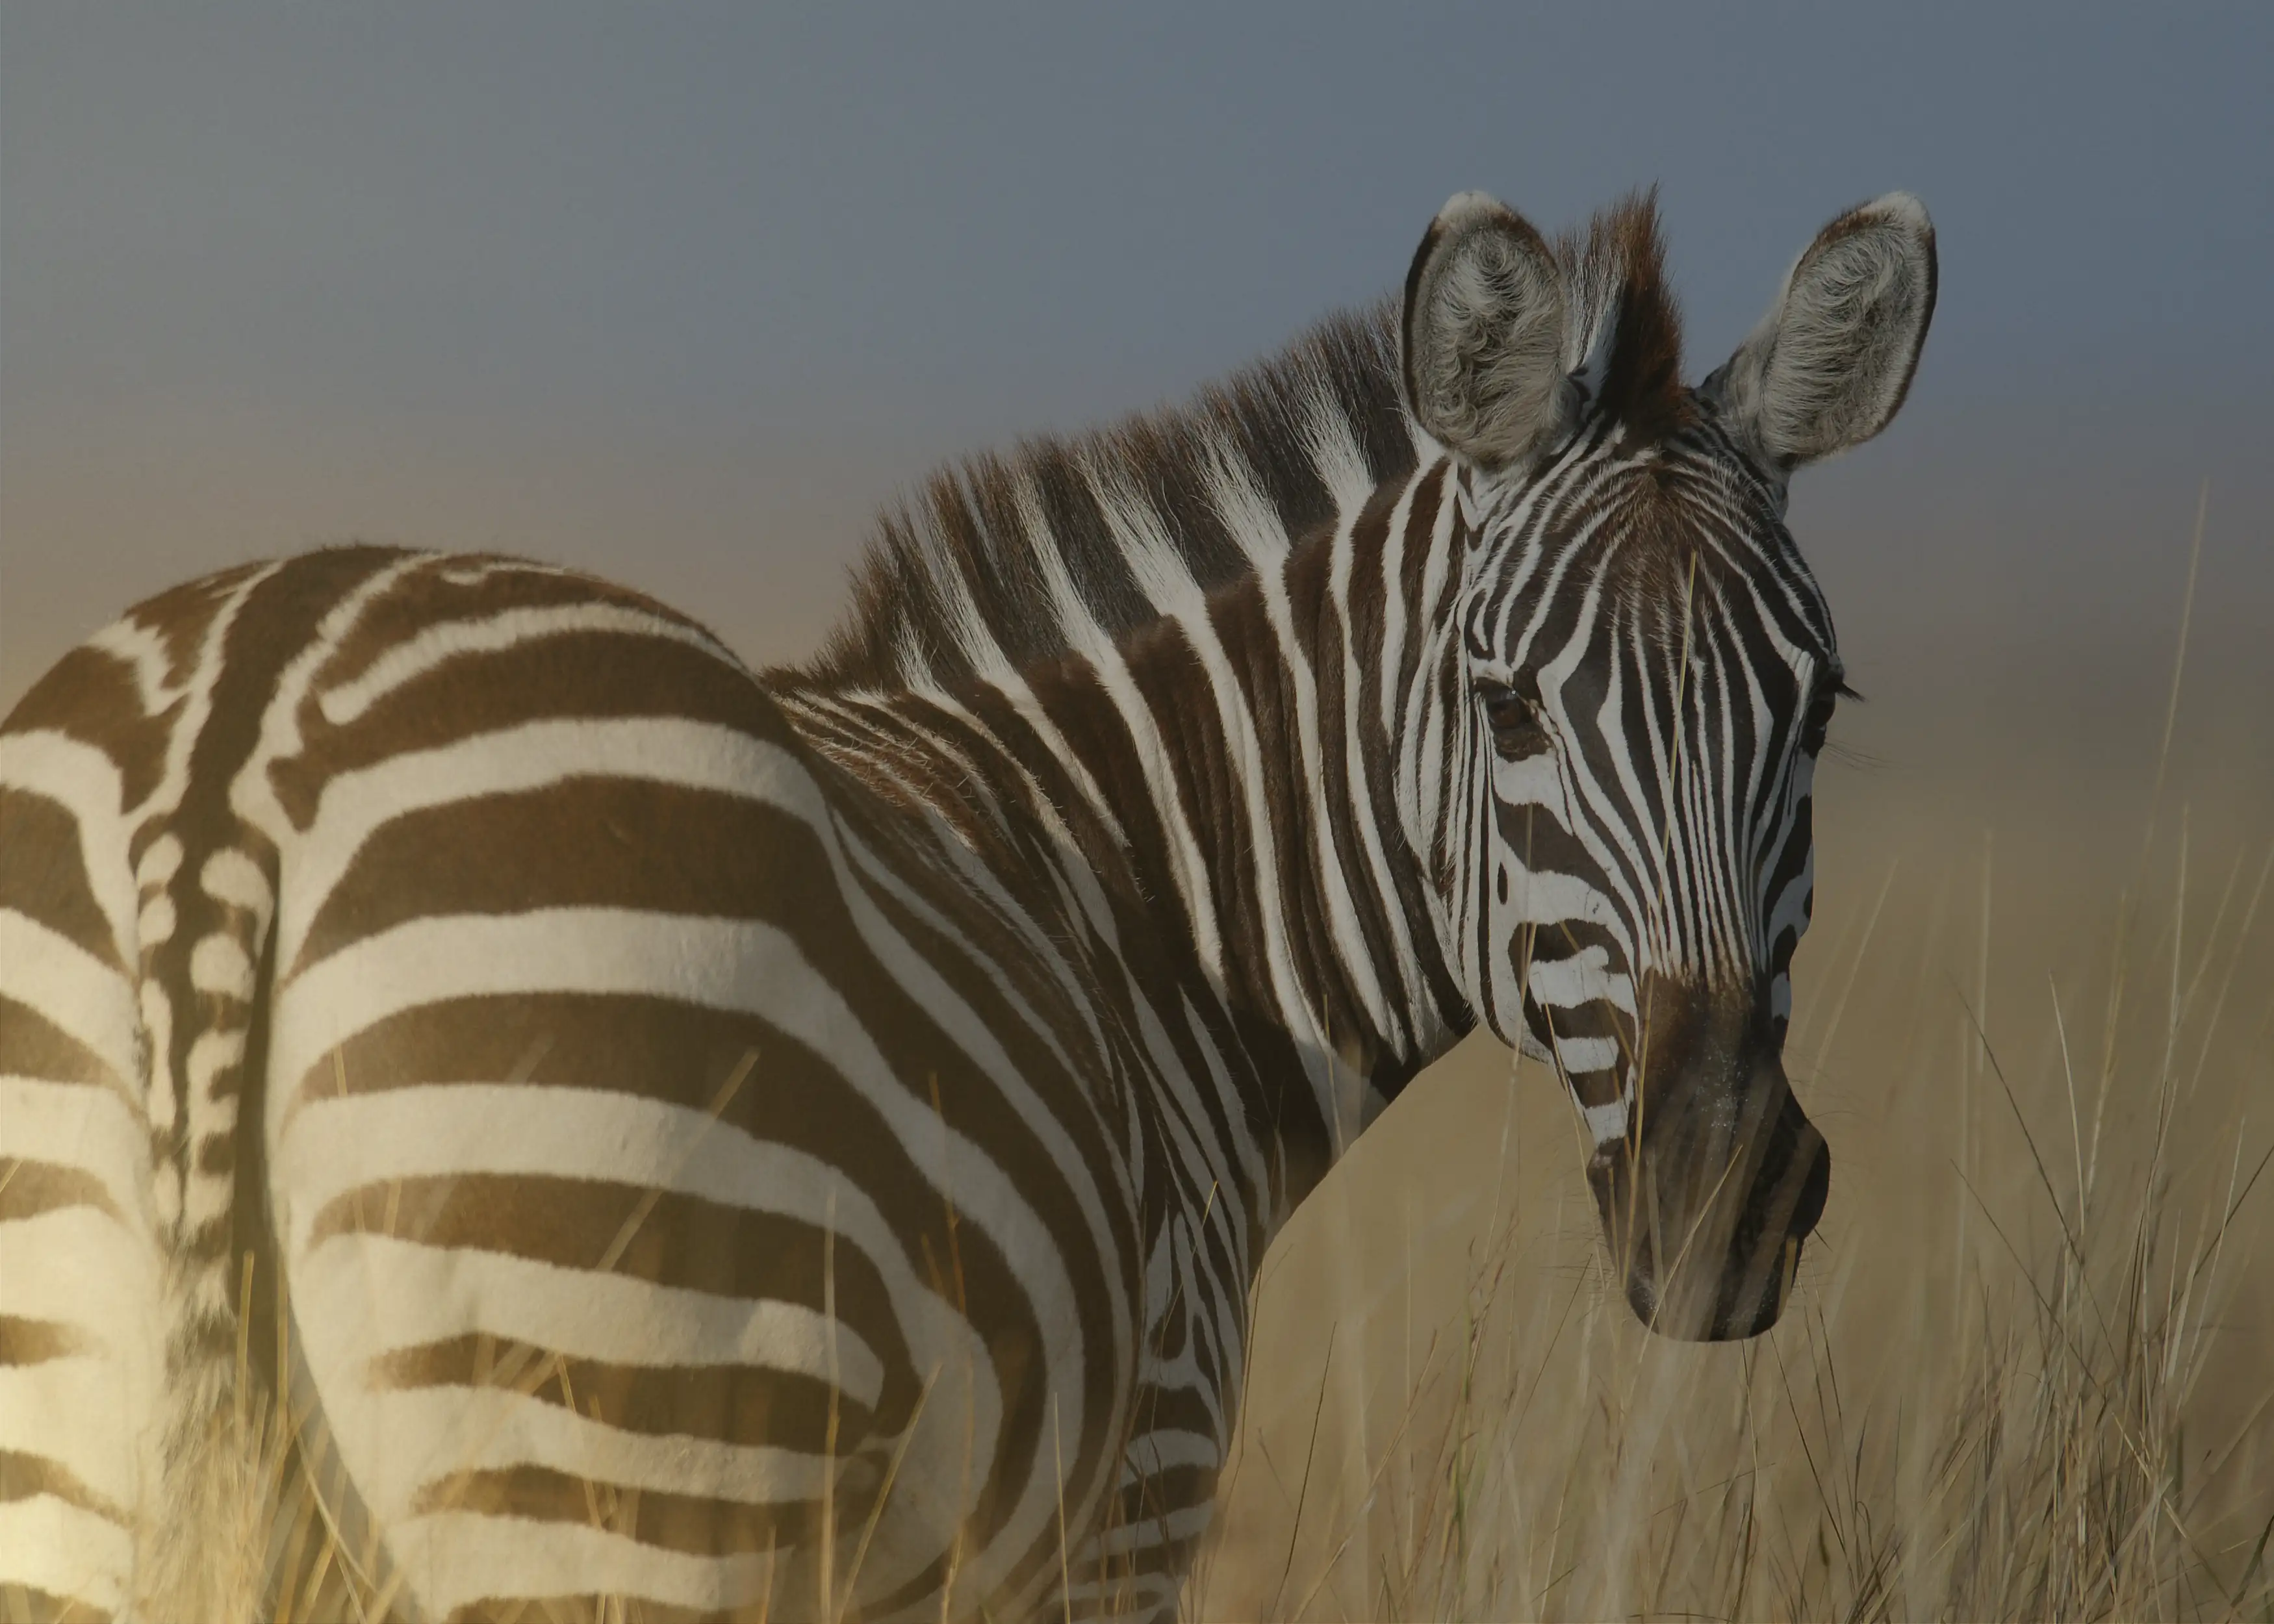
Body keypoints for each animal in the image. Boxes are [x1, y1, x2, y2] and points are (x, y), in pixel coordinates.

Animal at [0, 187, 1934, 1622]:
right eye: (1510, 708)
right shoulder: (1126, 1501)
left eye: (1818, 708)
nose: (1725, 1204)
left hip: (89, 1470)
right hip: (598, 1452)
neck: (1154, 911)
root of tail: (237, 743)